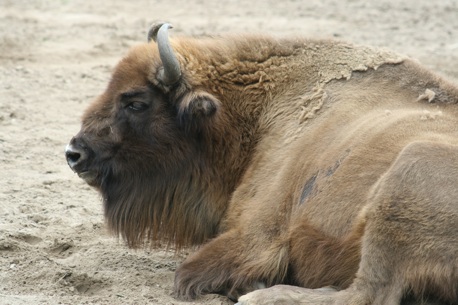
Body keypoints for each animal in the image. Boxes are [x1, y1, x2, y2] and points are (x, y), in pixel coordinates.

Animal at [65, 24, 458, 304]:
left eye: (136, 102)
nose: (74, 153)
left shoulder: (256, 233)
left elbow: (188, 273)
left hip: (407, 171)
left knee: (368, 294)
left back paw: (262, 295)